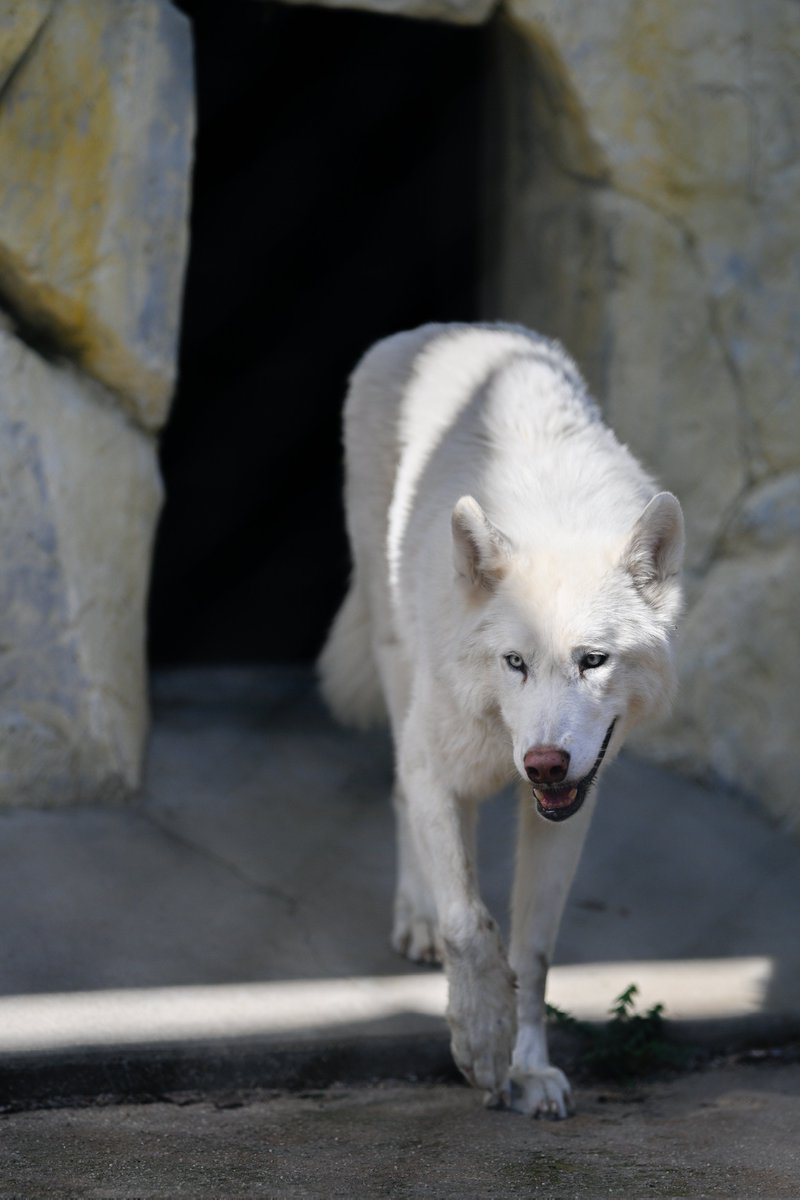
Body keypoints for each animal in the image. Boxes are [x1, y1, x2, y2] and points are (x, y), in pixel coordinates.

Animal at [318, 323, 684, 1117]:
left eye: (593, 660)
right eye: (514, 662)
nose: (543, 763)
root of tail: (449, 329)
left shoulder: (573, 806)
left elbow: (533, 952)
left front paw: (527, 1068)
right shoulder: (437, 762)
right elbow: (469, 922)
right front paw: (482, 1042)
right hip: (395, 659)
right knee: (404, 800)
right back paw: (418, 918)